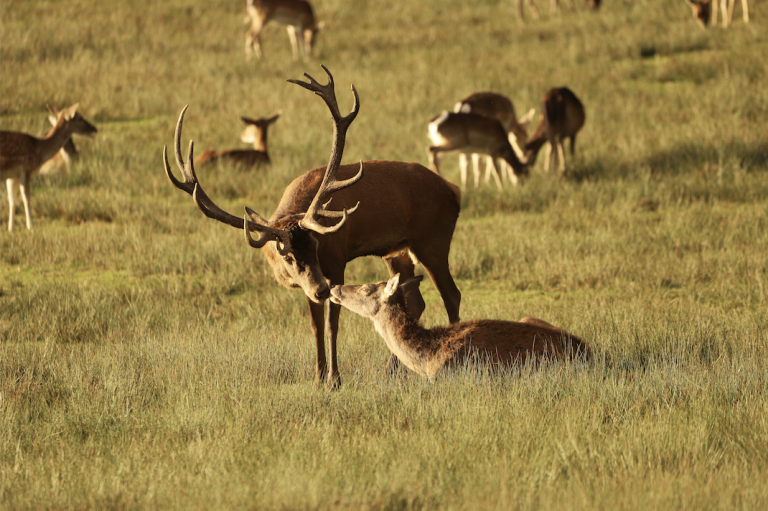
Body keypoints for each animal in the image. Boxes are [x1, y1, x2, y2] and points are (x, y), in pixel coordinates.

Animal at [1, 103, 97, 231]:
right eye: (80, 118)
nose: (95, 128)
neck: (40, 151)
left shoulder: (12, 175)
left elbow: (12, 199)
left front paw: (11, 229)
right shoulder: (26, 168)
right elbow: (27, 198)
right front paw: (30, 227)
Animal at [164, 66, 463, 389]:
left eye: (317, 244)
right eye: (286, 256)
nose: (320, 289)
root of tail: (454, 190)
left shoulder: (336, 261)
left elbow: (332, 323)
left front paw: (335, 379)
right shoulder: (308, 284)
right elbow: (315, 325)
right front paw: (319, 378)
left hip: (432, 239)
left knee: (451, 294)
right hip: (397, 251)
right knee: (414, 300)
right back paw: (391, 371)